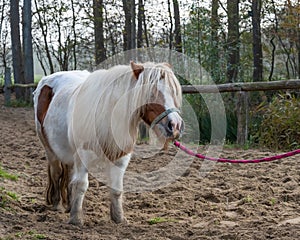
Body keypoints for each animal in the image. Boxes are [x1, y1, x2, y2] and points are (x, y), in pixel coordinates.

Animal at [32, 61, 183, 225]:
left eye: (173, 92)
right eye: (151, 93)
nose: (175, 125)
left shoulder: (120, 158)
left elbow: (116, 189)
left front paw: (119, 218)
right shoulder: (84, 154)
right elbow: (81, 185)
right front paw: (76, 219)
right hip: (50, 150)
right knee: (57, 172)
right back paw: (57, 204)